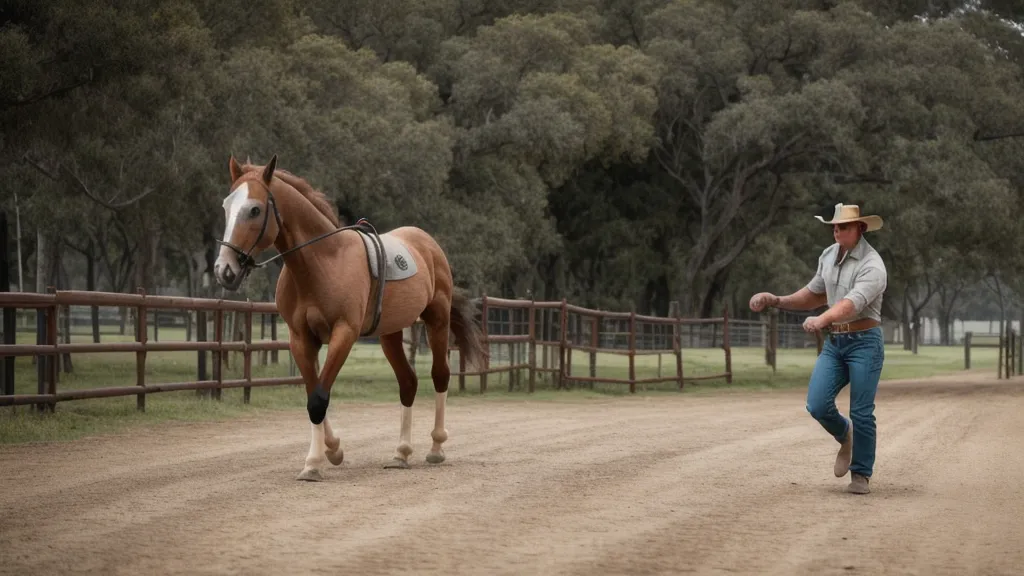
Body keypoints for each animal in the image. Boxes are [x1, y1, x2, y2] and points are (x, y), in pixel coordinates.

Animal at [212, 154, 488, 481]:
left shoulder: (344, 333)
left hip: (437, 321)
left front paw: (315, 463)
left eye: (254, 209)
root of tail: (427, 243)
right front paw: (330, 451)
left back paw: (436, 447)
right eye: (226, 206)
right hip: (390, 334)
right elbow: (314, 393)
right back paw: (401, 453)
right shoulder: (300, 338)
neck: (322, 262)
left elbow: (319, 398)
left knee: (439, 376)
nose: (224, 270)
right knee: (408, 382)